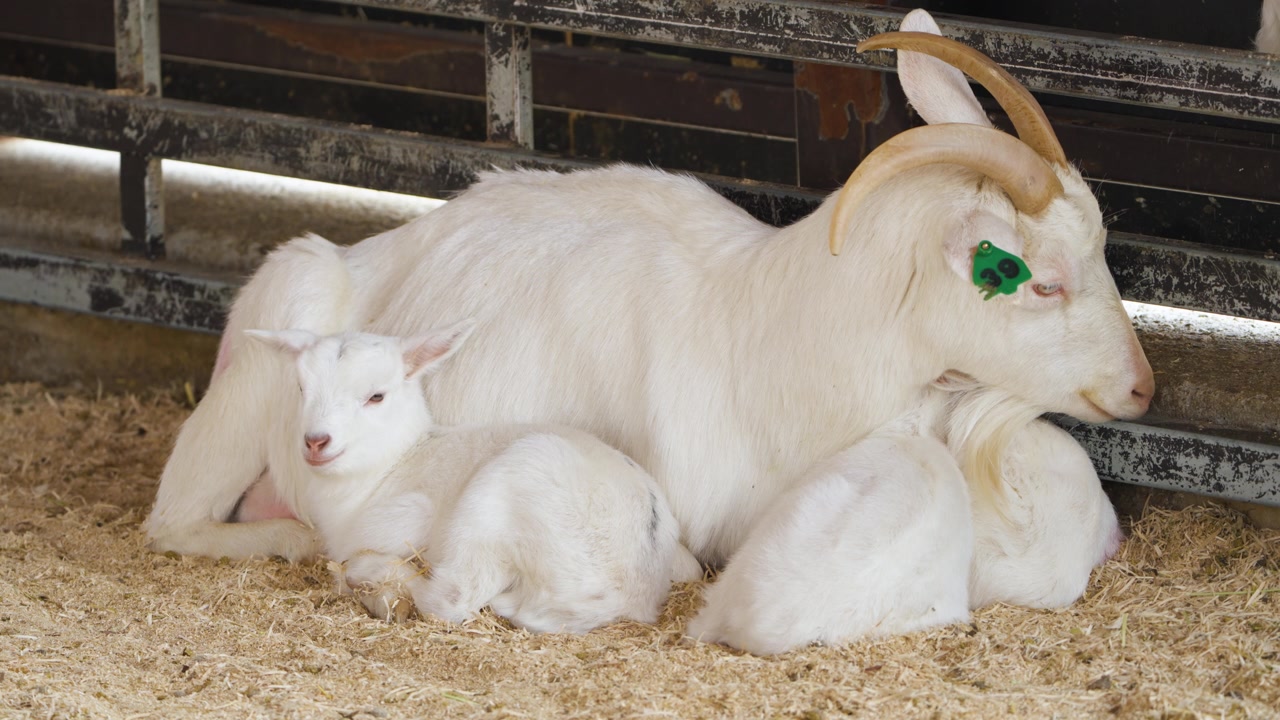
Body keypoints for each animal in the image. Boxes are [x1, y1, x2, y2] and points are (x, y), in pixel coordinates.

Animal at [146, 10, 1153, 583]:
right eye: (1039, 280)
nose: (1142, 387)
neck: (778, 333)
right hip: (250, 387)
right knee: (172, 523)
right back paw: (285, 540)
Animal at [248, 324, 700, 632]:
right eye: (301, 388)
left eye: (377, 396)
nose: (315, 441)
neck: (395, 462)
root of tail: (619, 593)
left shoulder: (406, 517)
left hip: (490, 507)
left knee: (453, 596)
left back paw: (377, 581)